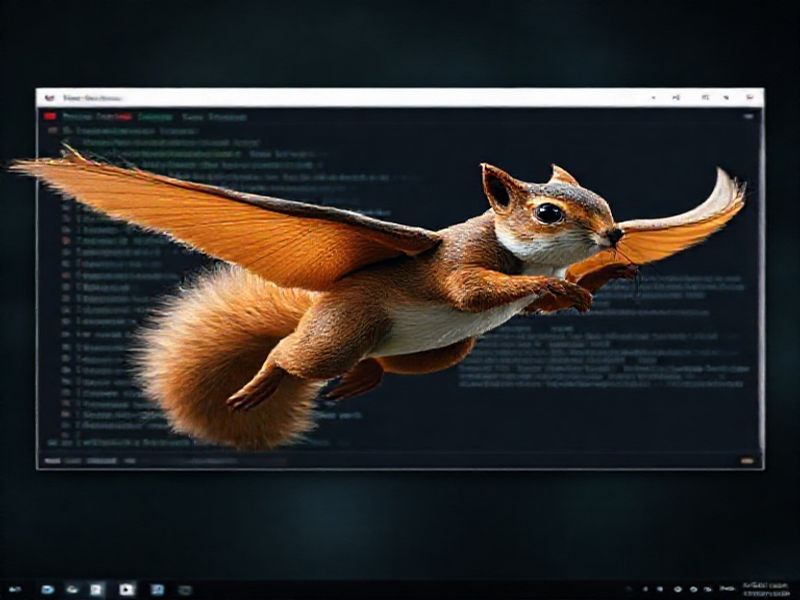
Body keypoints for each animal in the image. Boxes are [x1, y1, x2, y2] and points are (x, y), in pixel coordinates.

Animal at [12, 148, 745, 450]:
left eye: (607, 205)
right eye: (547, 212)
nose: (616, 236)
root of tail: (320, 310)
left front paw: (592, 283)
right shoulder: (459, 268)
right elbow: (477, 288)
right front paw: (548, 282)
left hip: (445, 350)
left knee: (384, 366)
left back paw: (359, 382)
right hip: (342, 331)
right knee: (290, 356)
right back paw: (261, 385)